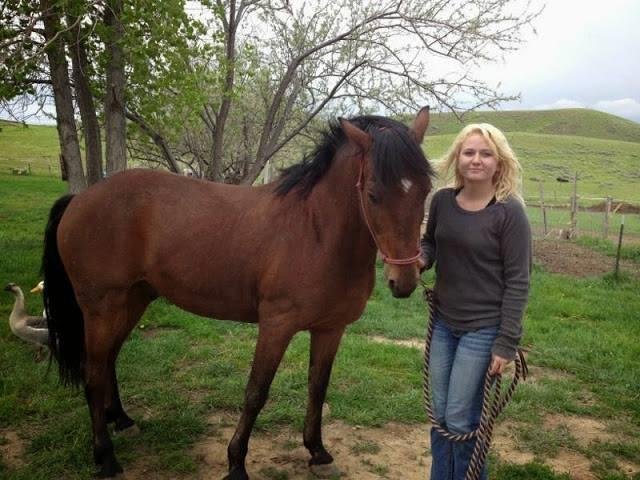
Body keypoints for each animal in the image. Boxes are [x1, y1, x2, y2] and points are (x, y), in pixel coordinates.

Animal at [41, 108, 434, 479]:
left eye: (425, 191)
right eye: (373, 194)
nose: (404, 280)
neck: (317, 232)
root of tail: (80, 198)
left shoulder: (330, 329)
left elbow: (317, 388)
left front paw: (318, 452)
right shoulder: (276, 326)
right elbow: (256, 392)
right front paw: (236, 463)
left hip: (132, 301)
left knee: (108, 361)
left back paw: (122, 420)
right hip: (102, 307)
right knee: (93, 374)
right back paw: (106, 457)